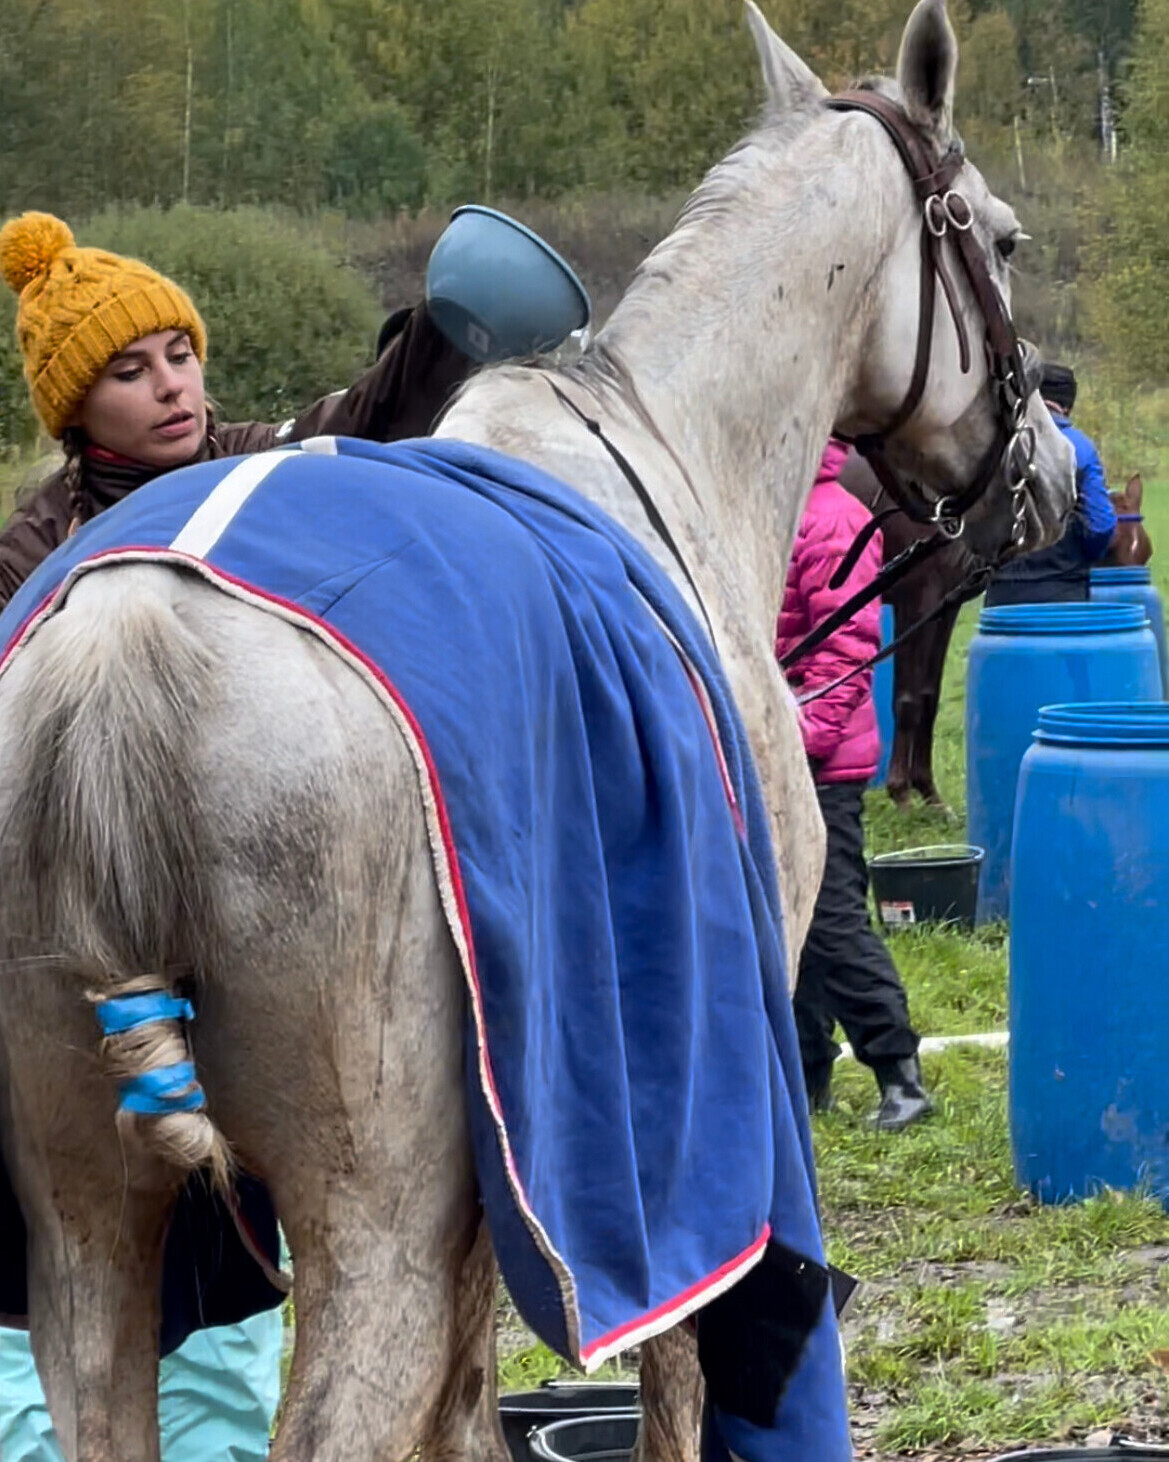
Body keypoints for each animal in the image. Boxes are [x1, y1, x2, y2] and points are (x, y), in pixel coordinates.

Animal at [0, 2, 1075, 1462]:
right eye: (1002, 239)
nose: (1051, 477)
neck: (672, 444)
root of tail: (120, 664)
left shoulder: (498, 1178)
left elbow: (467, 1400)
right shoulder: (686, 1118)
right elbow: (677, 1375)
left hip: (89, 1235)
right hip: (364, 1234)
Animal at [841, 456, 1151, 807]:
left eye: (1145, 553)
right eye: (1111, 548)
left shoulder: (944, 608)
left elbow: (927, 697)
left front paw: (929, 794)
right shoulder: (916, 603)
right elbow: (906, 699)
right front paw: (901, 793)